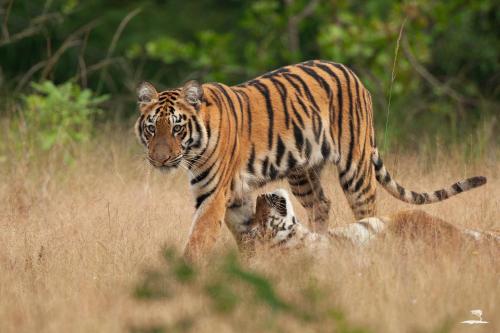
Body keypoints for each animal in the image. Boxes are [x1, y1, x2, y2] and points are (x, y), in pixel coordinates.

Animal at [135, 59, 486, 260]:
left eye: (177, 128)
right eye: (152, 128)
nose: (160, 160)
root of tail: (351, 73)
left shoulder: (213, 195)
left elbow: (198, 238)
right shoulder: (235, 195)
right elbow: (247, 232)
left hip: (355, 166)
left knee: (367, 209)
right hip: (301, 172)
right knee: (321, 204)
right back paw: (320, 241)